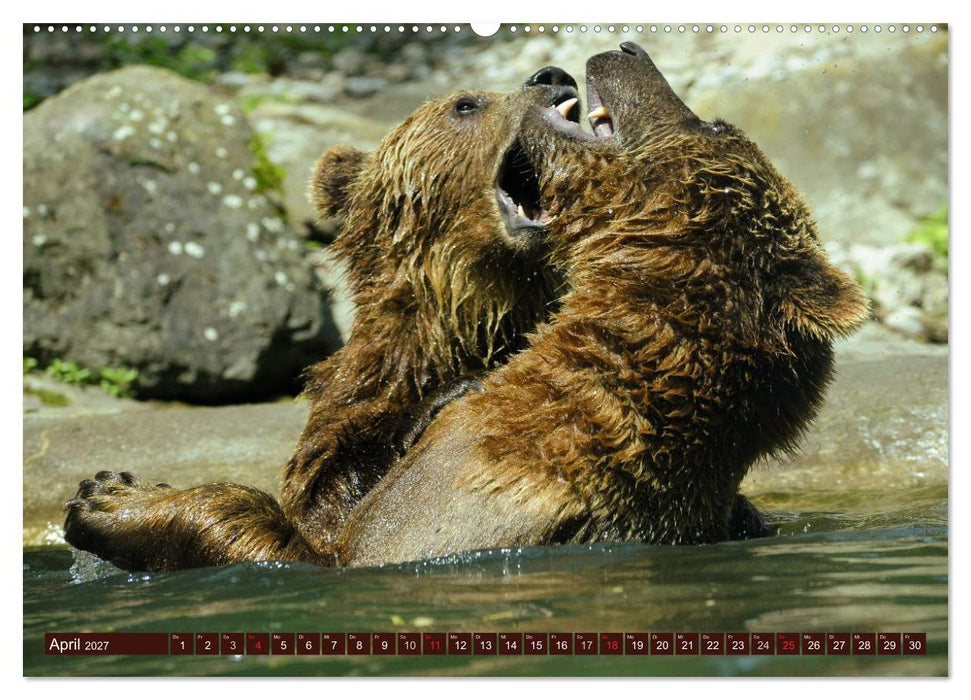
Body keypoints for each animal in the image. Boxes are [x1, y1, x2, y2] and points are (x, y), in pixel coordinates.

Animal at [62, 68, 585, 571]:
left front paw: (114, 498)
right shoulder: (357, 398)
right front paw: (109, 492)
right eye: (465, 104)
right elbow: (320, 500)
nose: (553, 75)